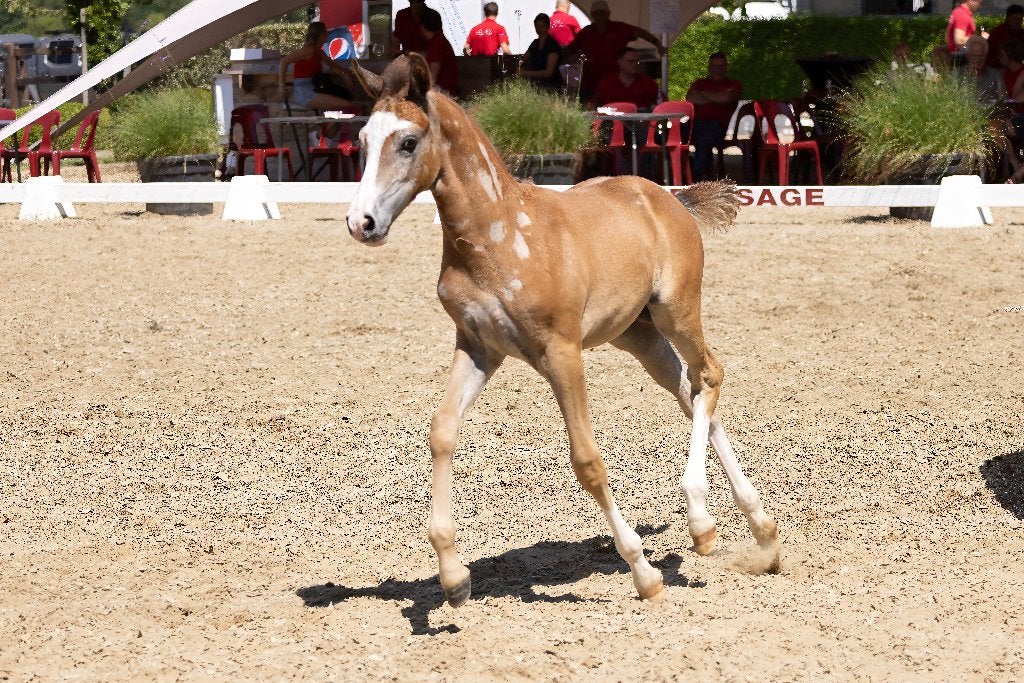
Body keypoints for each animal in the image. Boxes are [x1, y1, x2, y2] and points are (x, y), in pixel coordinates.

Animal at [345, 54, 779, 607]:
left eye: (407, 141)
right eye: (362, 141)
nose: (362, 222)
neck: (498, 238)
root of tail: (671, 199)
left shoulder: (561, 351)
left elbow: (588, 462)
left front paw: (643, 572)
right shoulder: (479, 346)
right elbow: (442, 431)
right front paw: (453, 576)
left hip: (675, 311)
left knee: (709, 375)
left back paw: (703, 520)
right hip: (637, 335)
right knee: (688, 388)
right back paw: (757, 530)